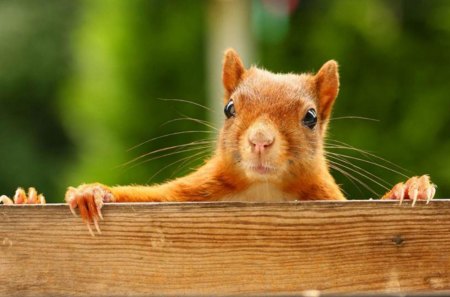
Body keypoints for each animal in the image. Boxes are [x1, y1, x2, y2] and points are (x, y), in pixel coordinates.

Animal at [0, 48, 436, 234]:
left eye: (311, 117)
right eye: (229, 107)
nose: (260, 140)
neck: (263, 191)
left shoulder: (326, 198)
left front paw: (408, 189)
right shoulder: (192, 193)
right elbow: (144, 196)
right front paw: (91, 193)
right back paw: (25, 200)